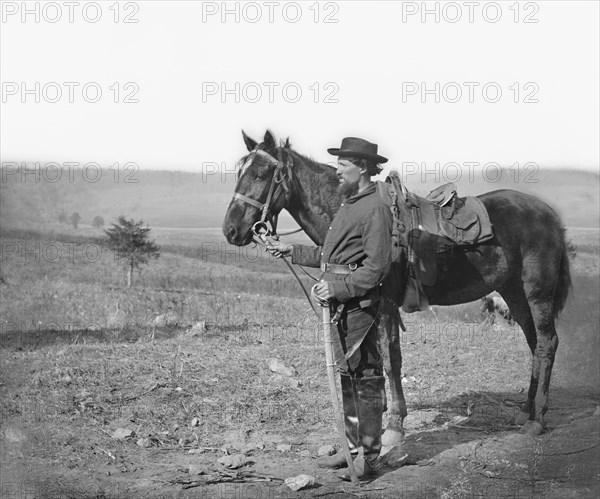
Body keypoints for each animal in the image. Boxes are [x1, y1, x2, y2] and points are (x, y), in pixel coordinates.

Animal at [224, 130, 572, 442]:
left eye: (260, 173)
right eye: (239, 172)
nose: (231, 229)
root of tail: (549, 215)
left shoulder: (387, 304)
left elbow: (391, 360)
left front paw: (394, 425)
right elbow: (375, 359)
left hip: (537, 292)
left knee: (547, 343)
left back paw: (537, 419)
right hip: (513, 292)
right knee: (534, 342)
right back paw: (525, 410)